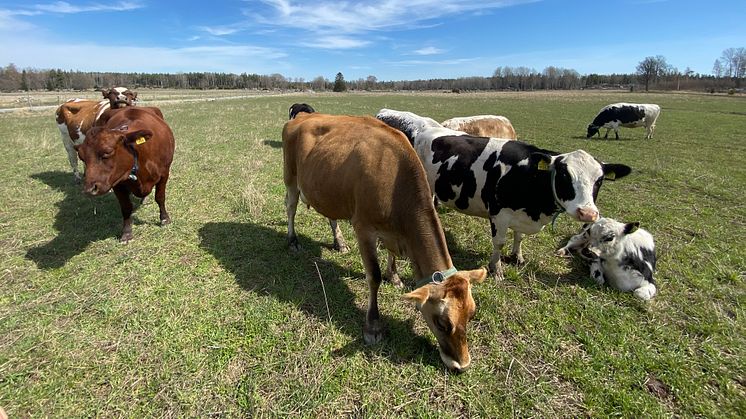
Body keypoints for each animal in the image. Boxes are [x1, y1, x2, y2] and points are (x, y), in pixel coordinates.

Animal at [75, 106, 174, 244]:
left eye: (108, 152)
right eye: (81, 157)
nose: (89, 189)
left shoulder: (164, 174)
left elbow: (160, 197)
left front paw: (164, 219)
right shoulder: (116, 183)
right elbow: (126, 207)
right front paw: (127, 233)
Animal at [282, 109, 486, 374]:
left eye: (471, 315)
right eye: (442, 323)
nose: (462, 365)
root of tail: (305, 114)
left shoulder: (393, 232)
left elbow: (392, 256)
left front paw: (395, 276)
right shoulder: (364, 228)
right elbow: (374, 276)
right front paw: (373, 326)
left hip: (328, 187)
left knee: (330, 215)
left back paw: (339, 242)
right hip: (290, 176)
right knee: (291, 207)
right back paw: (293, 240)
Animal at [374, 108, 632, 280]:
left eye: (599, 181)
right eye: (564, 175)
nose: (587, 213)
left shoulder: (522, 215)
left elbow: (519, 238)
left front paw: (517, 256)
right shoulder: (499, 214)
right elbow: (499, 242)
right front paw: (496, 268)